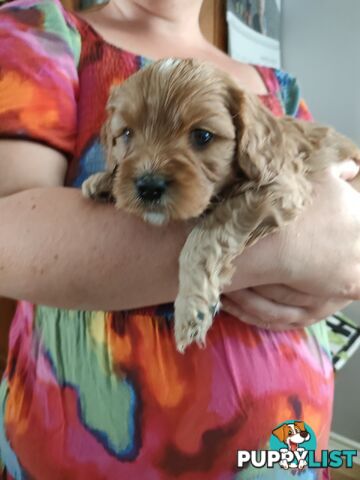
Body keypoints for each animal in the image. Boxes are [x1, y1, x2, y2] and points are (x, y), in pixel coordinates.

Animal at [82, 59, 360, 352]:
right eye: (126, 133)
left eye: (202, 136)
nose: (148, 187)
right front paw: (103, 181)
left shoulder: (283, 187)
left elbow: (203, 239)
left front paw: (191, 307)